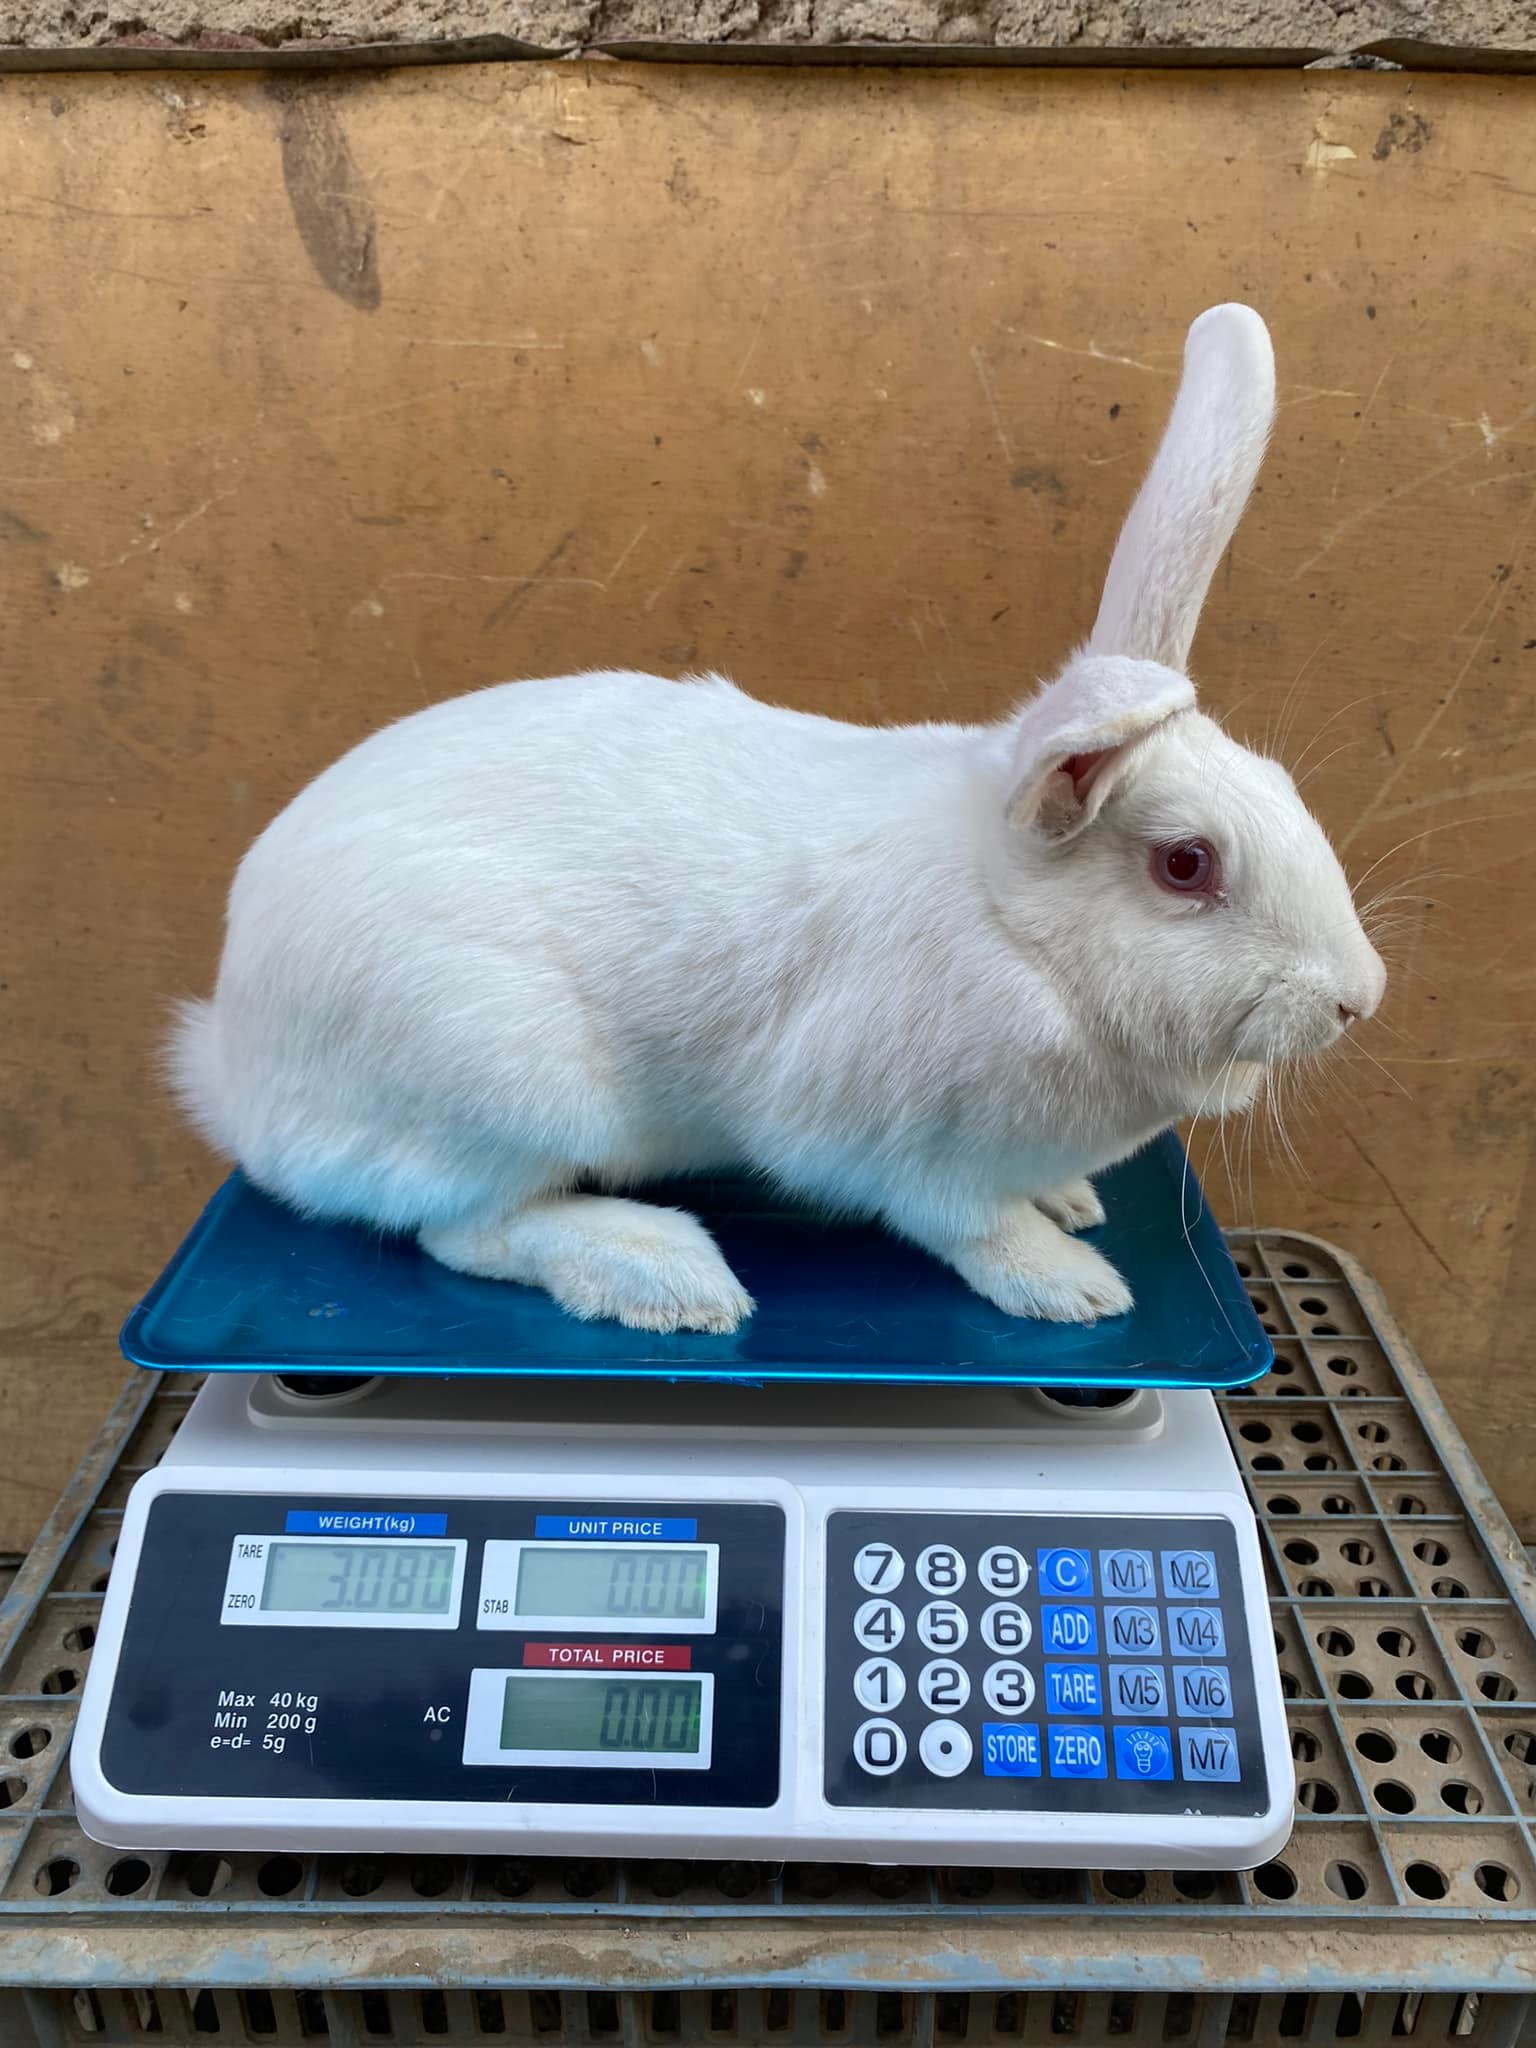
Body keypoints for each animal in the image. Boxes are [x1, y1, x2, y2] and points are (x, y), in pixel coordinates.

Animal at [171, 303, 1385, 1336]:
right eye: (1186, 864)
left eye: (1282, 786)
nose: (1357, 1000)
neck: (1017, 932)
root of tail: (238, 1073)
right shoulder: (902, 1144)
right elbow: (970, 1223)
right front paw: (1072, 1283)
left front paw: (1074, 1200)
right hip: (503, 1085)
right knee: (465, 1230)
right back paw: (664, 1273)